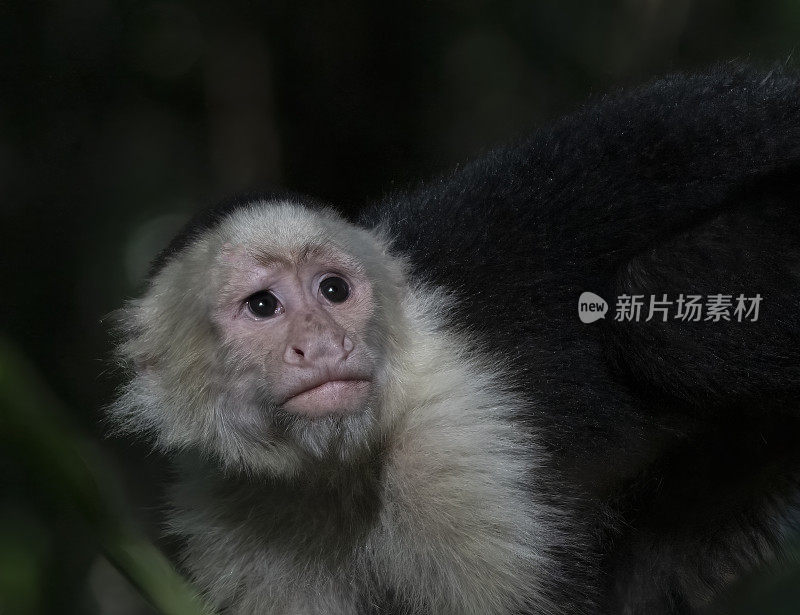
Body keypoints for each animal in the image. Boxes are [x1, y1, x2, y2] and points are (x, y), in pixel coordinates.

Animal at [109, 65, 800, 612]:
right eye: (262, 306)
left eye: (333, 290)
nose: (325, 344)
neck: (336, 468)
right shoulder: (231, 518)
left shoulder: (453, 443)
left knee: (662, 313)